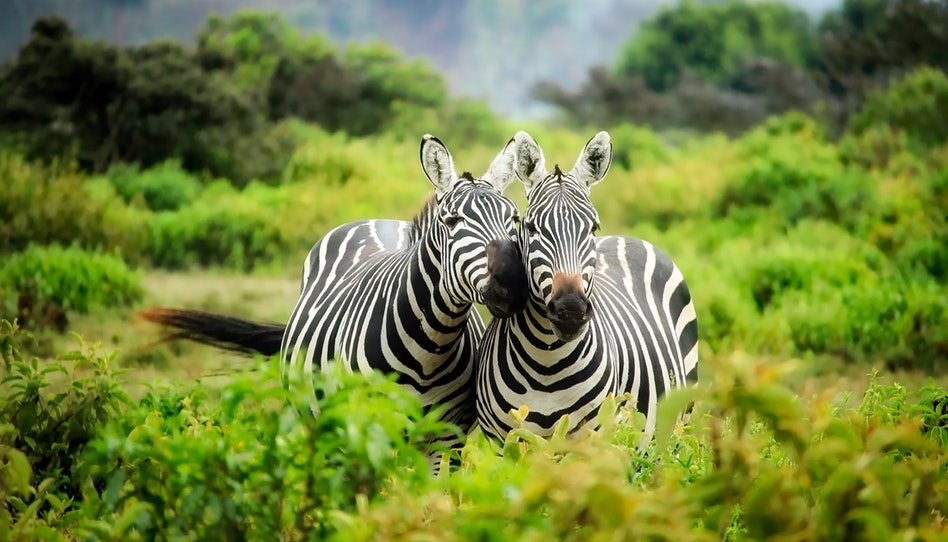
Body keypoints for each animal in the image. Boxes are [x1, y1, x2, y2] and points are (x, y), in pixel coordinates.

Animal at [141, 134, 528, 462]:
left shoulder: (447, 439)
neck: (430, 348)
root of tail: (377, 220)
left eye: (514, 218)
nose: (512, 283)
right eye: (452, 221)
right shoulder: (365, 429)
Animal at [475, 131, 699, 442]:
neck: (546, 363)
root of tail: (627, 237)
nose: (570, 311)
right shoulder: (503, 441)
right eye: (530, 227)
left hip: (678, 424)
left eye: (593, 228)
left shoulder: (593, 439)